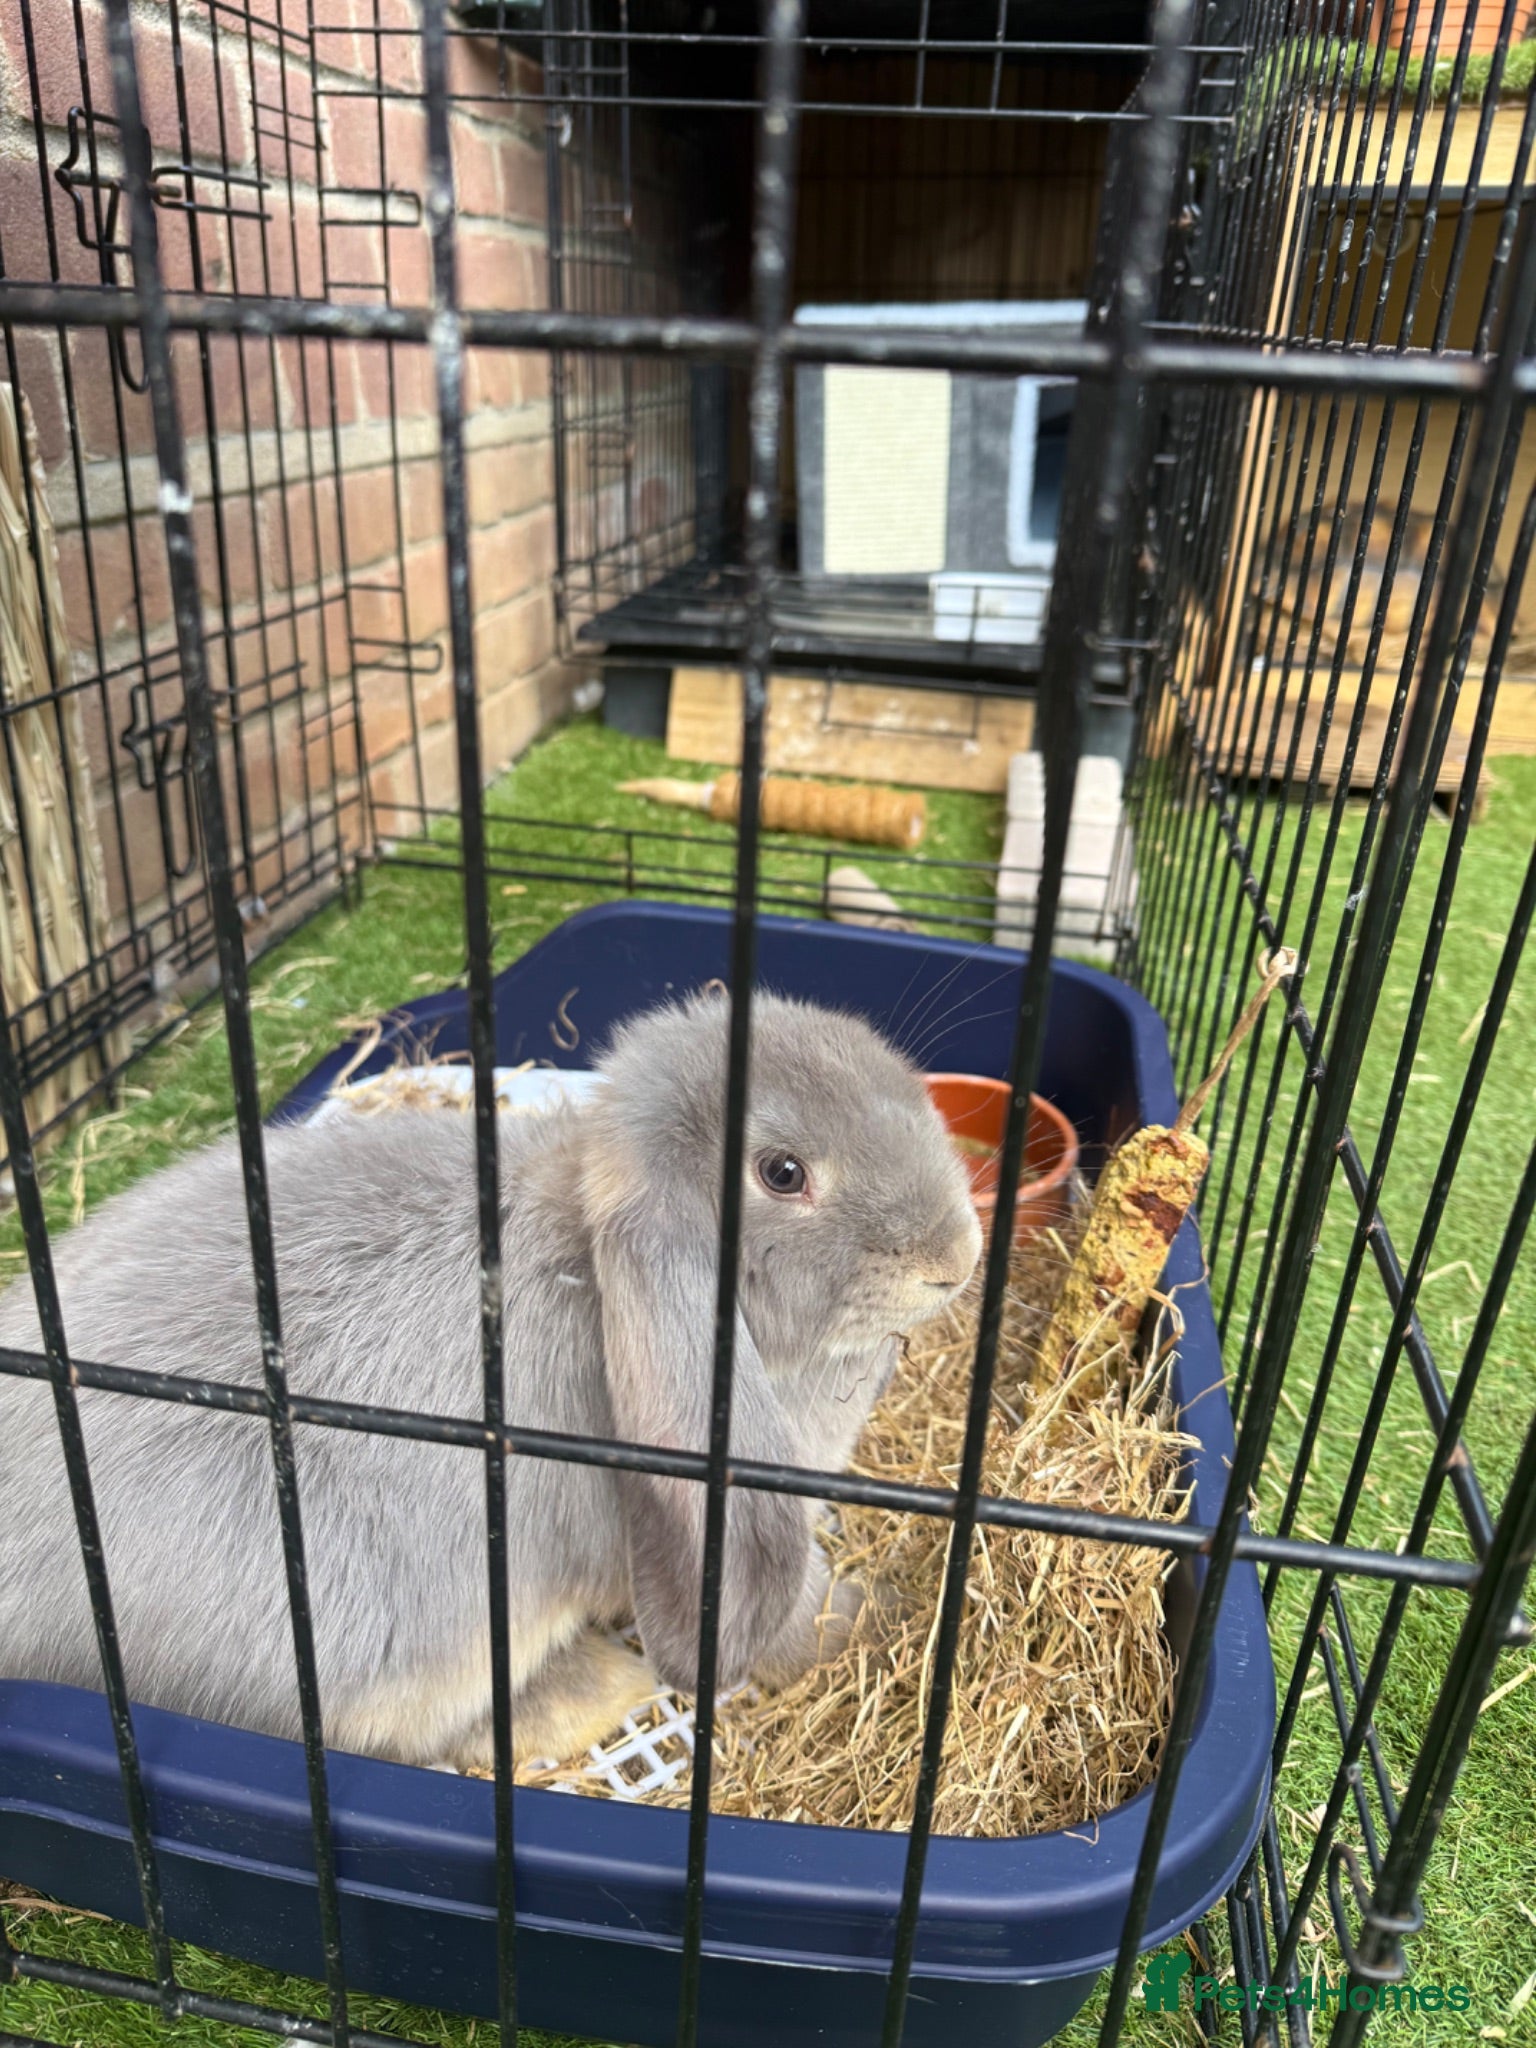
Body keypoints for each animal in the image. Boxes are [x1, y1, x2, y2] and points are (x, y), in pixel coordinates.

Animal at [0, 989, 982, 1770]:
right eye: (783, 1173)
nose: (956, 1257)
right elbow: (798, 1609)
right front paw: (887, 1614)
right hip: (396, 1639)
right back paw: (599, 1687)